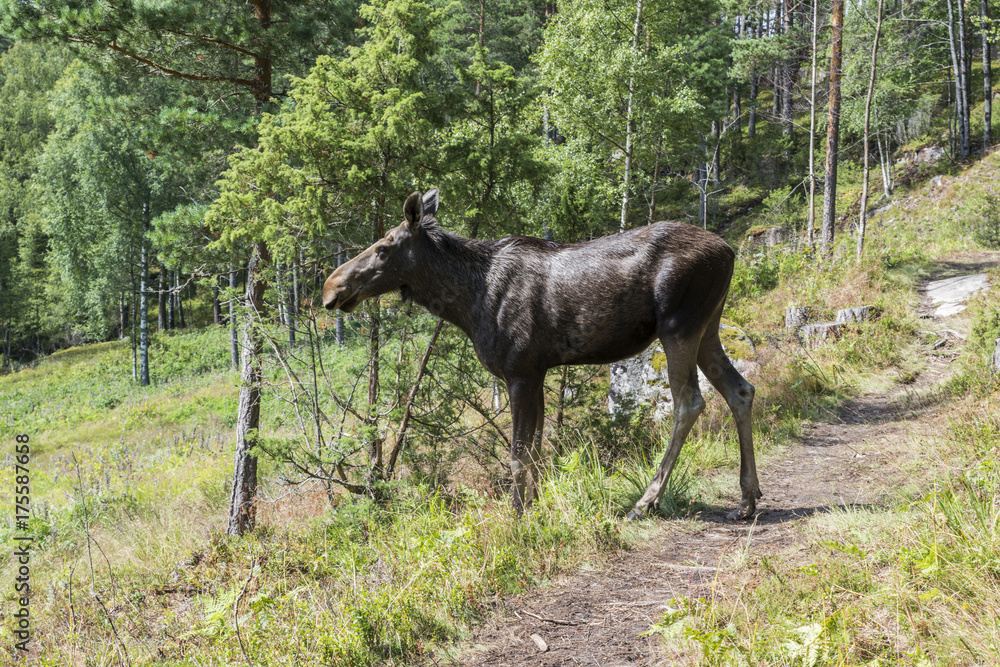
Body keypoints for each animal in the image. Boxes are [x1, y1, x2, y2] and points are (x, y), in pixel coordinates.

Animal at [323, 189, 761, 521]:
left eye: (383, 248)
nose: (331, 288)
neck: (465, 303)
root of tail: (729, 250)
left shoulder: (519, 372)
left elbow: (518, 456)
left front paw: (518, 517)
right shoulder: (536, 372)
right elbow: (535, 451)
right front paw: (534, 508)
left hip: (677, 326)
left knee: (689, 401)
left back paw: (646, 500)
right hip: (708, 327)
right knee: (740, 390)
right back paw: (748, 498)